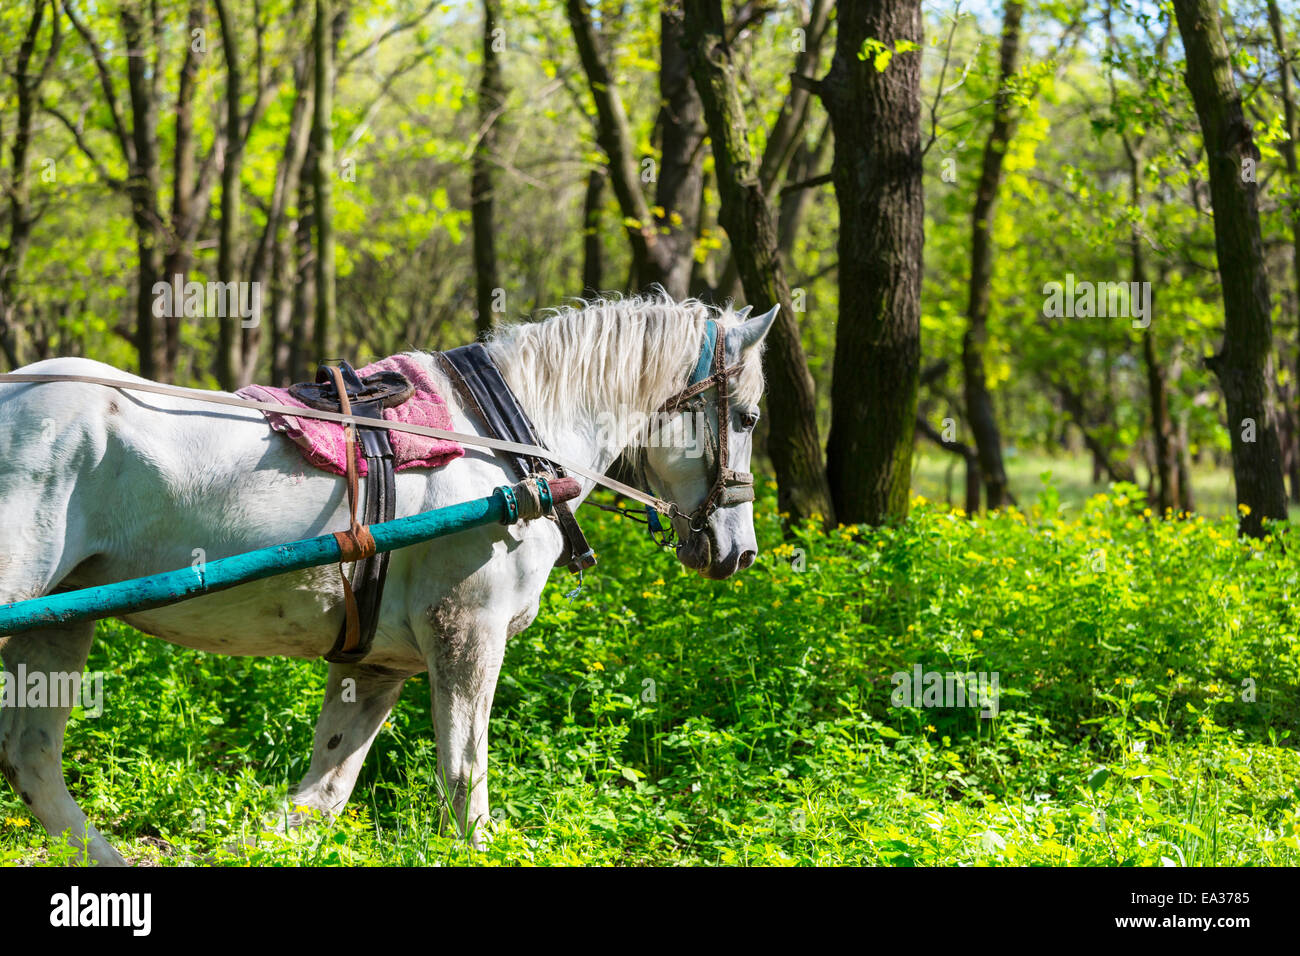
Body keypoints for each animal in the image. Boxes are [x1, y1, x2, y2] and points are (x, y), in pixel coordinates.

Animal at [0, 295, 777, 865]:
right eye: (746, 417)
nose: (739, 552)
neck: (506, 445)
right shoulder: (466, 634)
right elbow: (465, 781)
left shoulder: (375, 662)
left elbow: (321, 795)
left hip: (59, 620)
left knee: (31, 759)